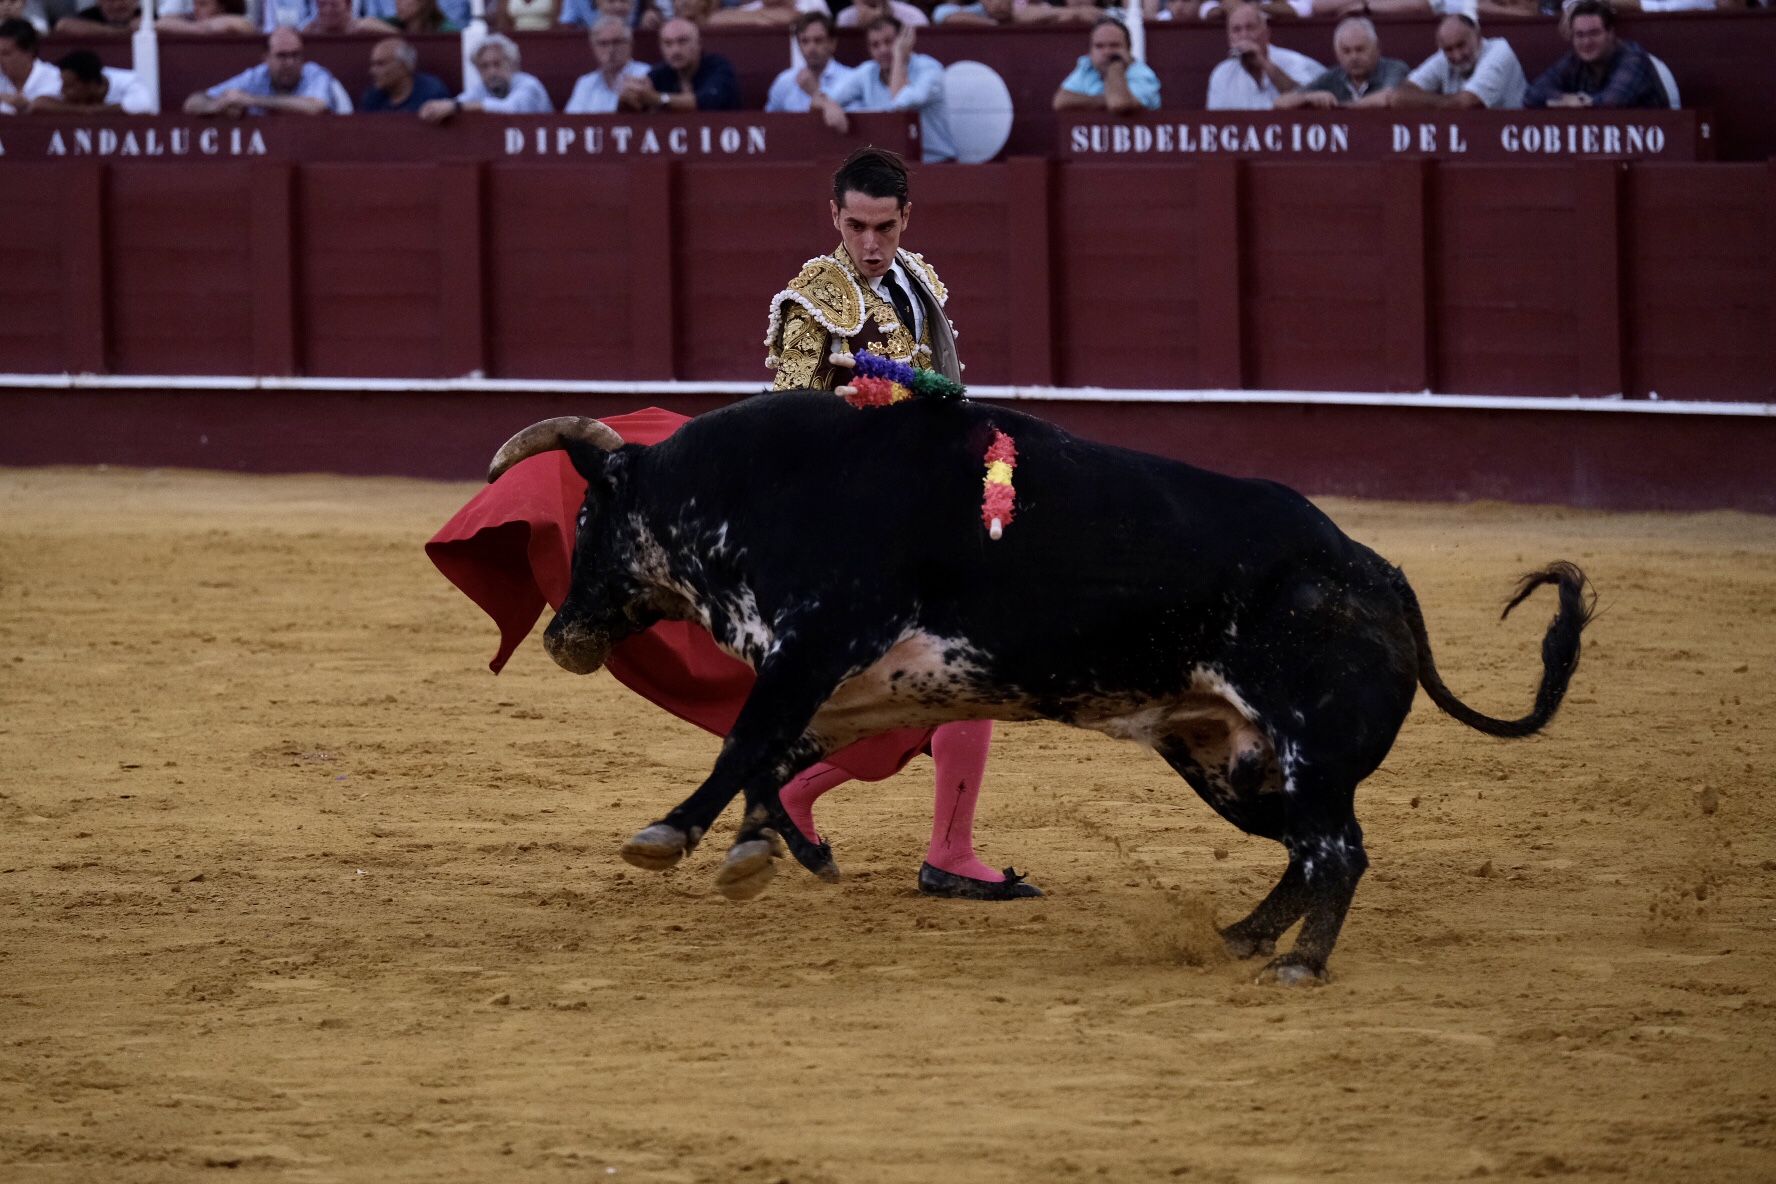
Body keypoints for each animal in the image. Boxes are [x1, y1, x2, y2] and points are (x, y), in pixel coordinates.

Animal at [486, 394, 1598, 986]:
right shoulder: (860, 686)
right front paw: (767, 848)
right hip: (1230, 761)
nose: (561, 635)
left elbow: (743, 741)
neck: (760, 487)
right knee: (1303, 850)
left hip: (1308, 751)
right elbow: (776, 751)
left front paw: (668, 835)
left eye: (584, 518)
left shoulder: (815, 644)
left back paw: (1297, 964)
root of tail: (1378, 574)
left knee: (1339, 850)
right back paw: (1243, 935)